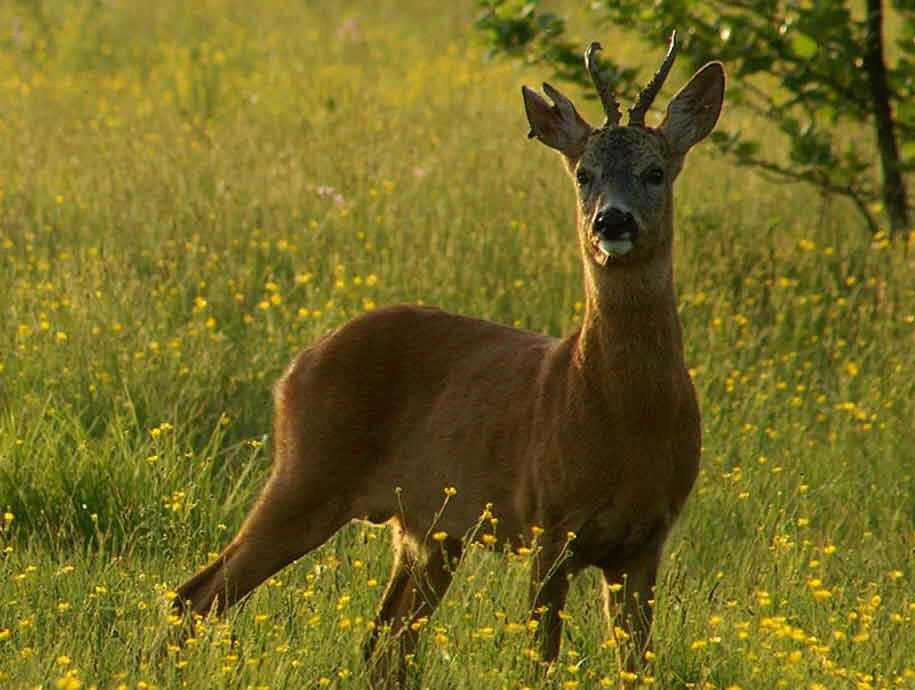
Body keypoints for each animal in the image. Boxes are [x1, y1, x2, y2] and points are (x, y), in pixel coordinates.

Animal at [175, 32, 728, 688]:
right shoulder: (548, 522)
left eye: (655, 171)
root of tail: (295, 368)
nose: (611, 220)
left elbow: (637, 667)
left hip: (428, 530)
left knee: (383, 643)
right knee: (196, 595)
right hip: (307, 473)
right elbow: (539, 661)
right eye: (583, 173)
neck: (623, 419)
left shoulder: (647, 540)